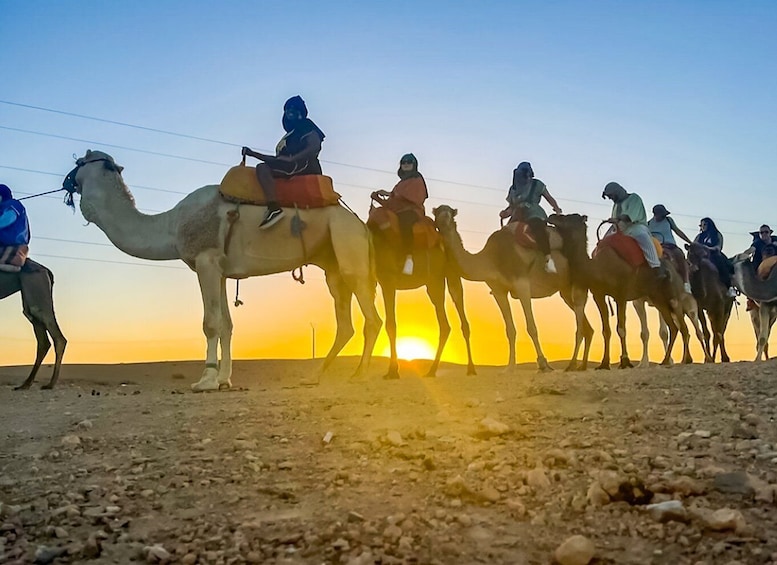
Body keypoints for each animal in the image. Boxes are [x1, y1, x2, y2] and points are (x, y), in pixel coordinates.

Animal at [0, 260, 66, 388]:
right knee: (43, 341)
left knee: (57, 338)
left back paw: (50, 383)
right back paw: (26, 383)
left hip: (36, 289)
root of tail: (46, 270)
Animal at [63, 148, 382, 390]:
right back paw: (315, 376)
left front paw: (205, 380)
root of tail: (360, 224)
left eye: (79, 163)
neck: (171, 224)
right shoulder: (222, 270)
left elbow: (210, 323)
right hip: (333, 264)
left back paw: (360, 374)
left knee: (371, 317)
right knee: (345, 321)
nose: (67, 181)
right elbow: (227, 324)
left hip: (348, 247)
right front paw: (224, 380)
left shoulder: (205, 261)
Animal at [368, 216, 472, 378]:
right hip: (434, 282)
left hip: (448, 275)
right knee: (445, 324)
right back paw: (432, 370)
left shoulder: (388, 281)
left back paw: (471, 369)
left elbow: (390, 324)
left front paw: (392, 371)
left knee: (459, 310)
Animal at [430, 205, 588, 372]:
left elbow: (531, 327)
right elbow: (510, 329)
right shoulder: (498, 290)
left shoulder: (521, 283)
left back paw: (572, 365)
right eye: (437, 213)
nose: (443, 220)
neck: (492, 258)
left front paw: (543, 364)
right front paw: (510, 366)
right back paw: (579, 366)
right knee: (586, 326)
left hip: (578, 284)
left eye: (450, 214)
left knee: (581, 324)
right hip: (565, 290)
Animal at [548, 214, 688, 368]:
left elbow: (621, 329)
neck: (598, 268)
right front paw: (604, 363)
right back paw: (665, 360)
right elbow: (606, 330)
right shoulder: (599, 295)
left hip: (672, 296)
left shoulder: (621, 294)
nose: (552, 216)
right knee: (674, 328)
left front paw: (625, 361)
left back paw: (684, 360)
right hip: (658, 299)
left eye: (570, 217)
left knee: (682, 327)